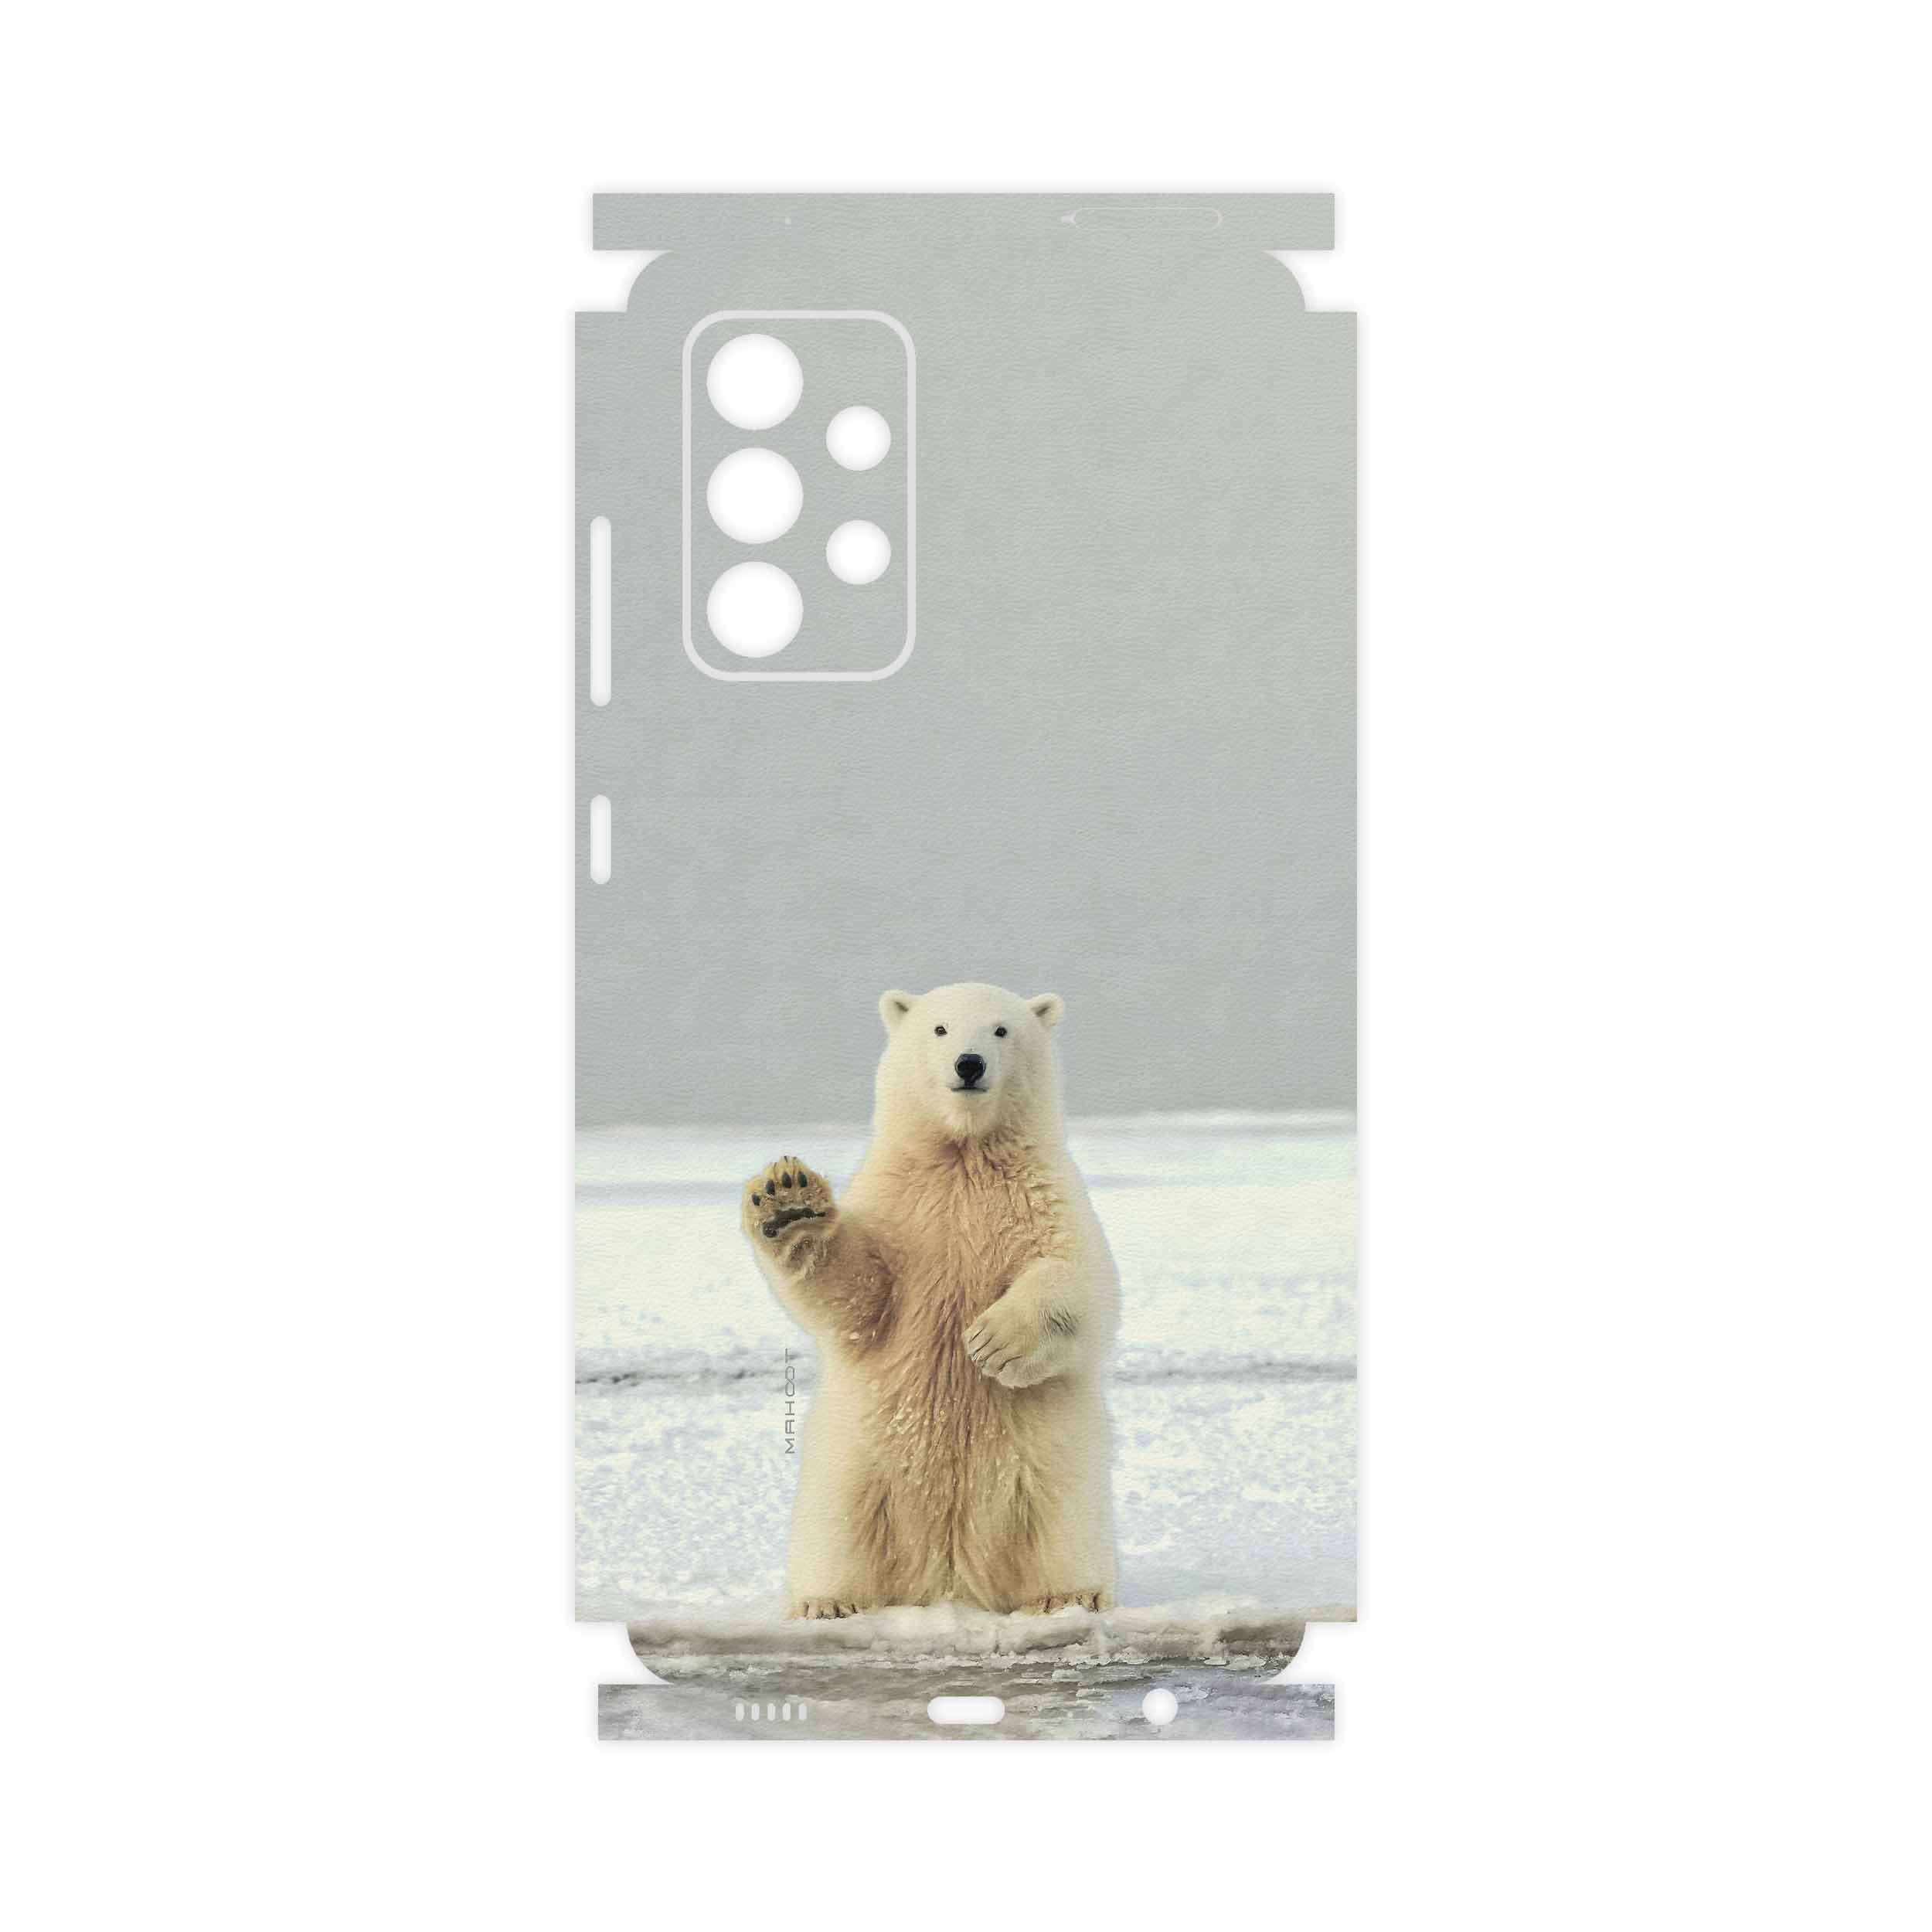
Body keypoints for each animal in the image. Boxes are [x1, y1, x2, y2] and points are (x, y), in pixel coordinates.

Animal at [740, 982, 1120, 1619]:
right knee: (838, 1531)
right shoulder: (901, 1205)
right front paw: (788, 1203)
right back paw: (828, 1602)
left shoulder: (1044, 1196)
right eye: (940, 1028)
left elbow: (1081, 1282)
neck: (963, 1155)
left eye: (1001, 1029)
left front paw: (993, 1342)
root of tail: (949, 1580)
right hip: (855, 1467)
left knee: (1061, 1526)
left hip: (1053, 1473)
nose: (969, 1065)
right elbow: (859, 1295)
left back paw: (1068, 1595)